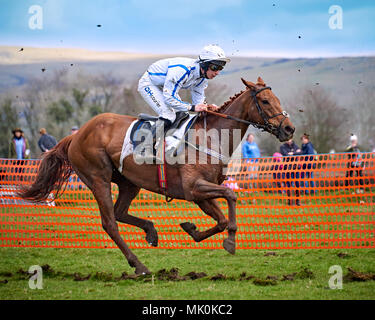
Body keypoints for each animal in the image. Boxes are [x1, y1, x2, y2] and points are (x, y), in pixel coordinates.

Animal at [19, 78, 296, 276]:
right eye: (266, 101)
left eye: (276, 98)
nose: (289, 129)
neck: (209, 137)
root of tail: (75, 135)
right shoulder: (194, 188)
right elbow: (230, 196)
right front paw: (230, 240)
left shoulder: (200, 193)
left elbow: (220, 219)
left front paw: (192, 229)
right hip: (98, 179)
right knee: (110, 223)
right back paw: (139, 265)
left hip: (129, 183)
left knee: (119, 213)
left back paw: (151, 232)